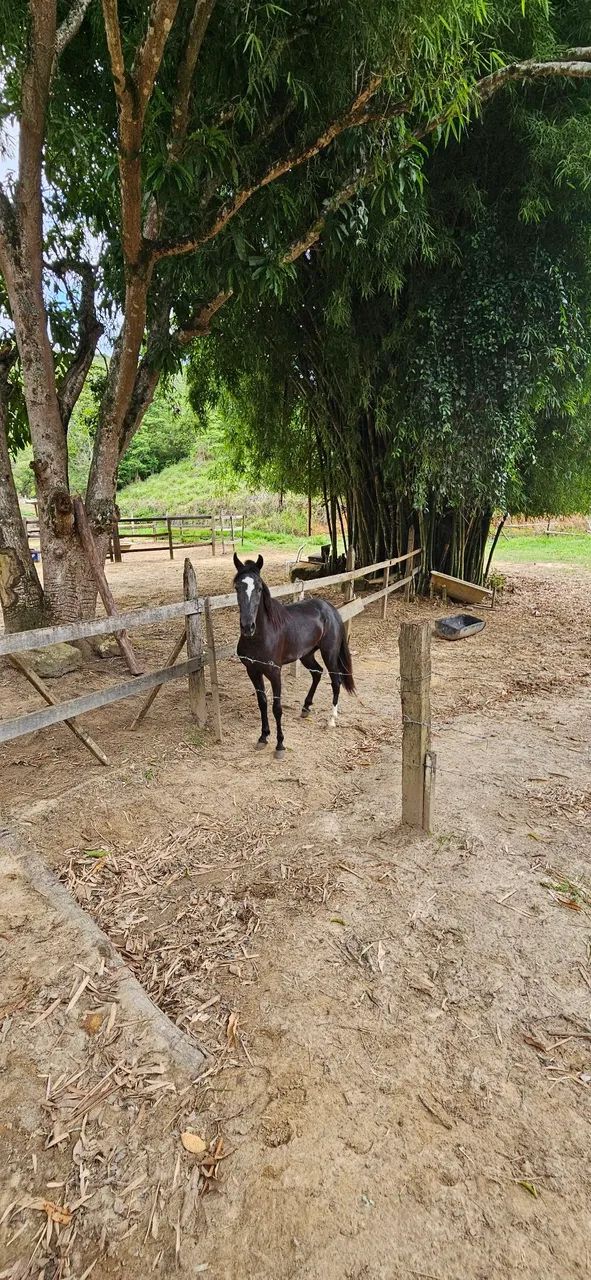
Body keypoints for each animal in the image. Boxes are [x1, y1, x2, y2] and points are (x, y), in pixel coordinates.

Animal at [233, 553, 355, 757]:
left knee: (336, 680)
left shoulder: (275, 673)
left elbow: (276, 708)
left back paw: (332, 719)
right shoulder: (253, 671)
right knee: (317, 673)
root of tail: (329, 607)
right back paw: (306, 707)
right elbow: (262, 703)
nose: (248, 626)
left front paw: (280, 745)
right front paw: (263, 737)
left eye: (259, 588)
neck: (261, 637)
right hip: (307, 655)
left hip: (329, 653)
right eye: (237, 587)